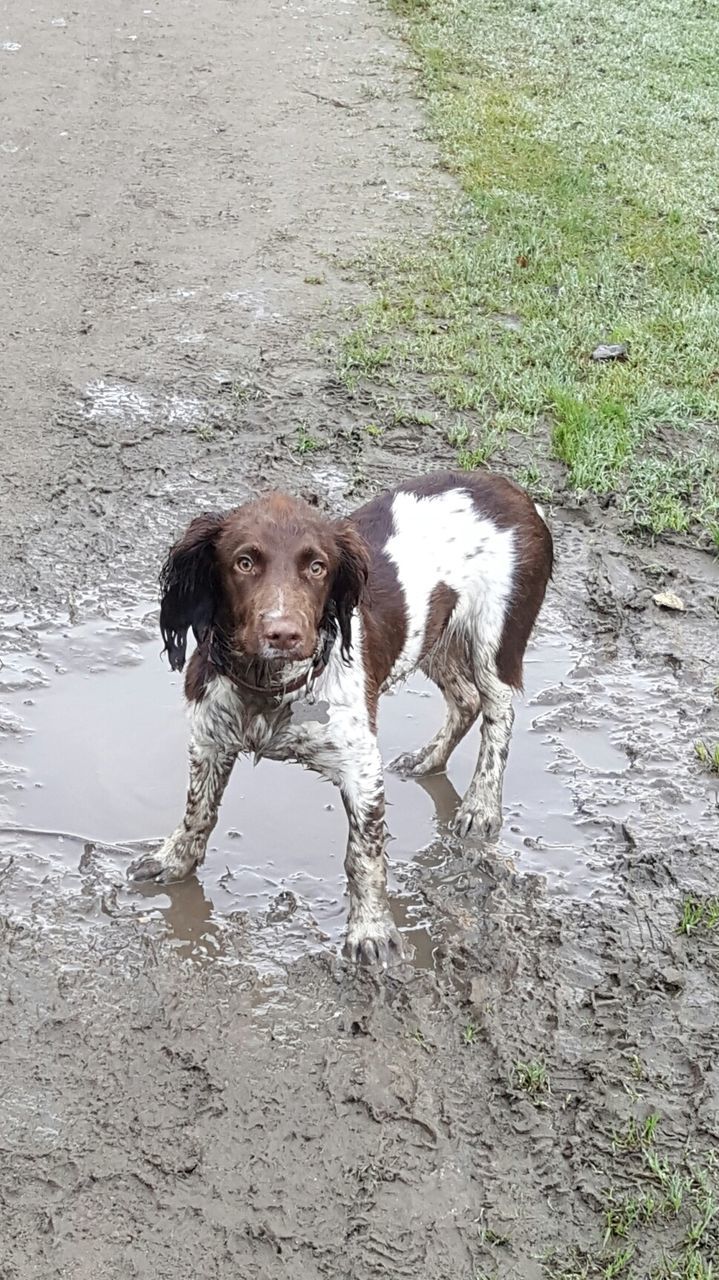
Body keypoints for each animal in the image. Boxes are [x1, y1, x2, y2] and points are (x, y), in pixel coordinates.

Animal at [128, 468, 550, 962]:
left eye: (317, 568)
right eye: (244, 562)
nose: (284, 634)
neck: (268, 686)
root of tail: (510, 488)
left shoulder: (360, 766)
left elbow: (364, 856)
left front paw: (370, 932)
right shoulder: (210, 739)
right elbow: (198, 810)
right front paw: (172, 862)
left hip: (494, 637)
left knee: (497, 712)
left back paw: (481, 805)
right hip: (432, 638)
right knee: (465, 699)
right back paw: (427, 760)